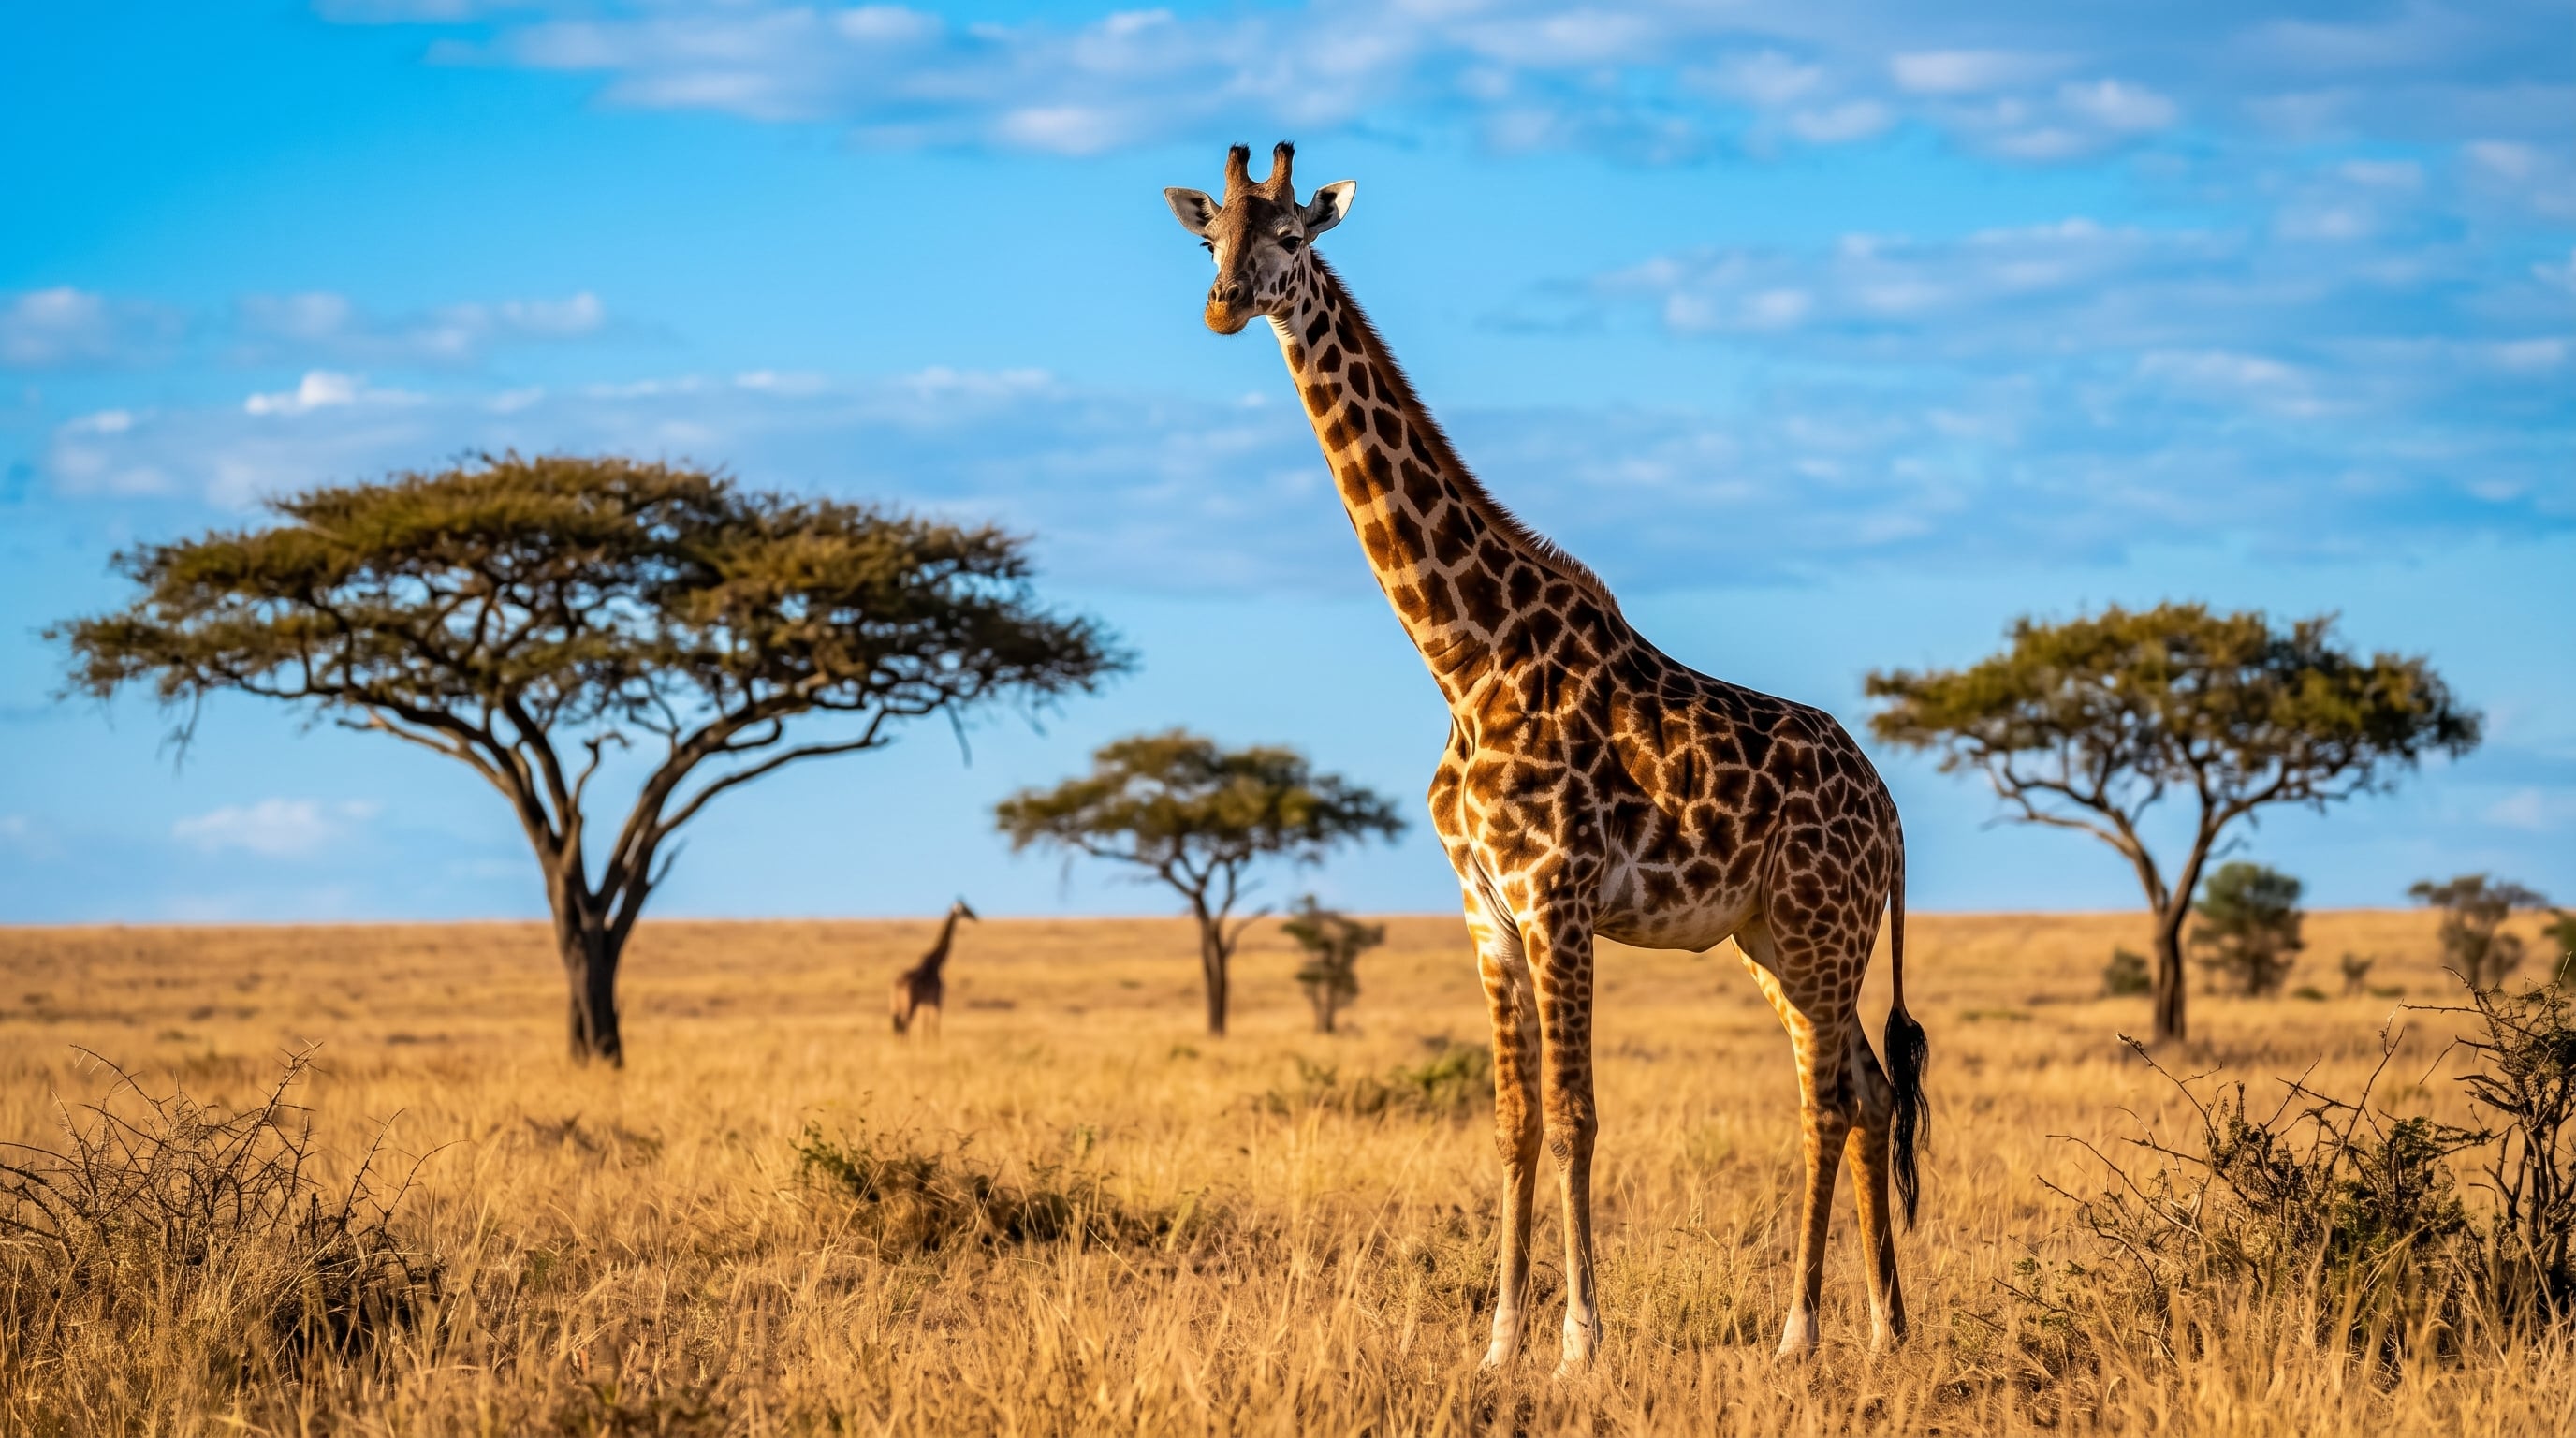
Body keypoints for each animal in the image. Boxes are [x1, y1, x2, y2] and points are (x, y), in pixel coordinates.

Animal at [891, 898, 976, 1038]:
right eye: (965, 908)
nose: (975, 916)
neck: (937, 962)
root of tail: (897, 984)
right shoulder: (937, 1000)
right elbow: (935, 1027)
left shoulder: (926, 1003)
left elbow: (925, 1027)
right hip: (910, 1005)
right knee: (905, 1027)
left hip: (895, 1008)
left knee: (898, 1029)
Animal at [1165, 144, 1929, 1374]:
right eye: (1207, 238)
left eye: (1291, 237)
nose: (1225, 304)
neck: (1463, 660)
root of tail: (1893, 813)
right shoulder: (1485, 910)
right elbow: (1513, 1122)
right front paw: (1498, 1343)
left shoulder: (1556, 900)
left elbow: (1576, 1118)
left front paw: (1579, 1342)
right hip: (1772, 937)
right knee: (1864, 1088)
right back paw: (1884, 1328)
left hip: (1822, 931)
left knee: (1826, 1097)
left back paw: (1798, 1332)